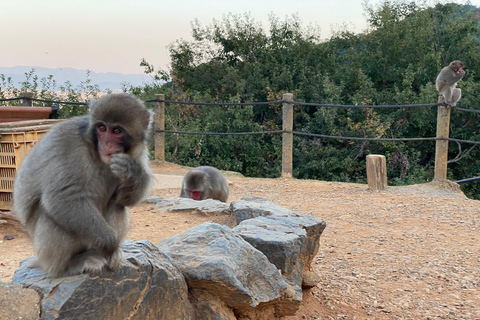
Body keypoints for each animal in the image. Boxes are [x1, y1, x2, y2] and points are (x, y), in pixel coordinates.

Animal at [12, 93, 152, 278]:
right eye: (102, 128)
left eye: (116, 131)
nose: (106, 144)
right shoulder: (70, 144)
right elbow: (63, 197)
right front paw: (111, 245)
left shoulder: (138, 150)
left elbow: (125, 199)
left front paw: (131, 171)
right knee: (53, 216)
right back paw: (70, 264)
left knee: (117, 205)